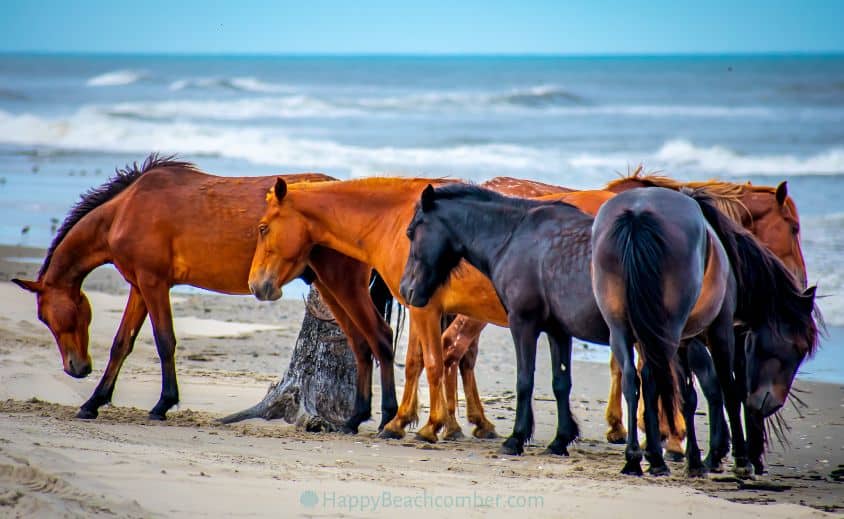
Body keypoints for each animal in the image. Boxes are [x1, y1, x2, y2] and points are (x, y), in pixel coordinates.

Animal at [11, 155, 398, 434]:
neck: (125, 210)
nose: (76, 369)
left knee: (378, 337)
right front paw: (92, 402)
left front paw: (162, 405)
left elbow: (164, 341)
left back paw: (384, 419)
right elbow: (122, 343)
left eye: (47, 316)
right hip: (329, 286)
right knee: (360, 343)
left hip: (342, 283)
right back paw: (355, 420)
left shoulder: (154, 283)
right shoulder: (140, 285)